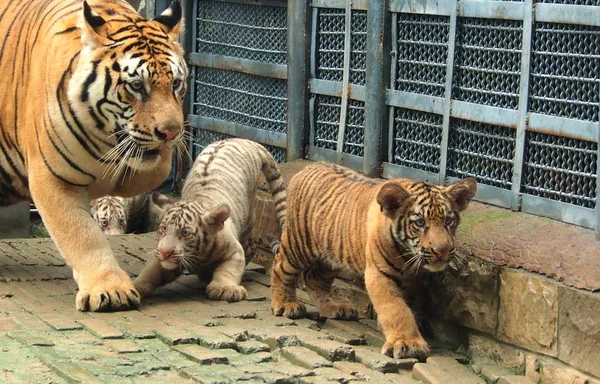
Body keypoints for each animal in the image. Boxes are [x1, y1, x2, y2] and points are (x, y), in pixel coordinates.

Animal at [0, 0, 188, 312]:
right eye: (137, 86)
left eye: (175, 84)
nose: (171, 132)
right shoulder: (53, 177)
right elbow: (82, 235)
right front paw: (110, 290)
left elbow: (152, 169)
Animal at [270, 162, 476, 360]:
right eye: (419, 223)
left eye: (448, 221)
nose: (442, 251)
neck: (407, 255)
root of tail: (306, 167)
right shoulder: (379, 274)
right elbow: (395, 309)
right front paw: (408, 344)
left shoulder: (409, 280)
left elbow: (405, 305)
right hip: (298, 245)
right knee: (280, 267)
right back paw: (285, 304)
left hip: (331, 255)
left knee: (314, 279)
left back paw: (334, 307)